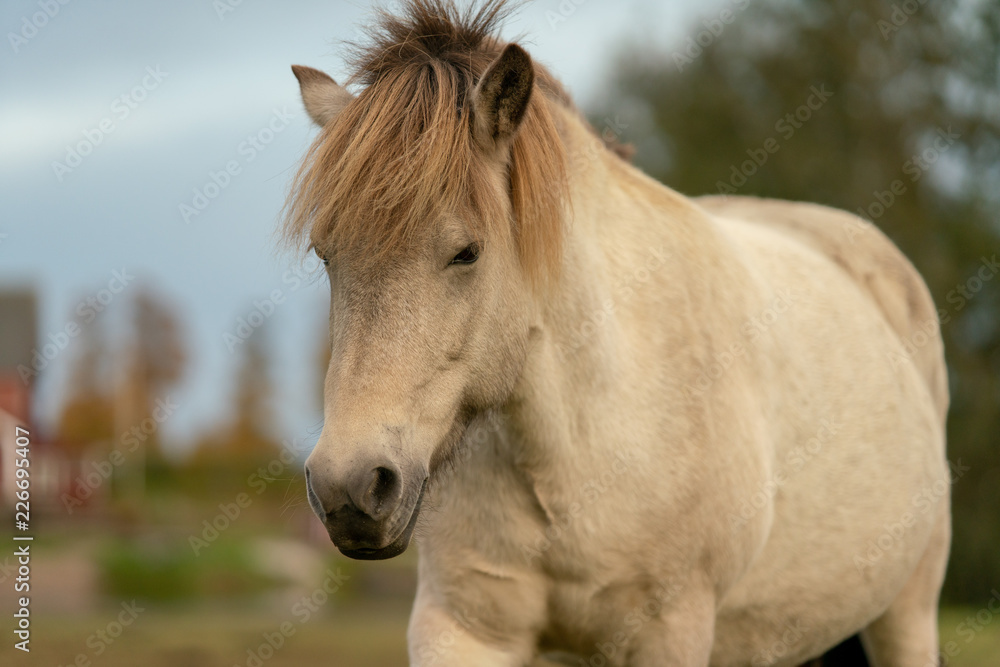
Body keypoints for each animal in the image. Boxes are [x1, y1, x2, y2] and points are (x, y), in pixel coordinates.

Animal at [284, 2, 951, 664]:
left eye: (467, 252)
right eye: (326, 254)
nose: (348, 487)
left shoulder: (671, 631)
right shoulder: (463, 628)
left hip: (906, 614)